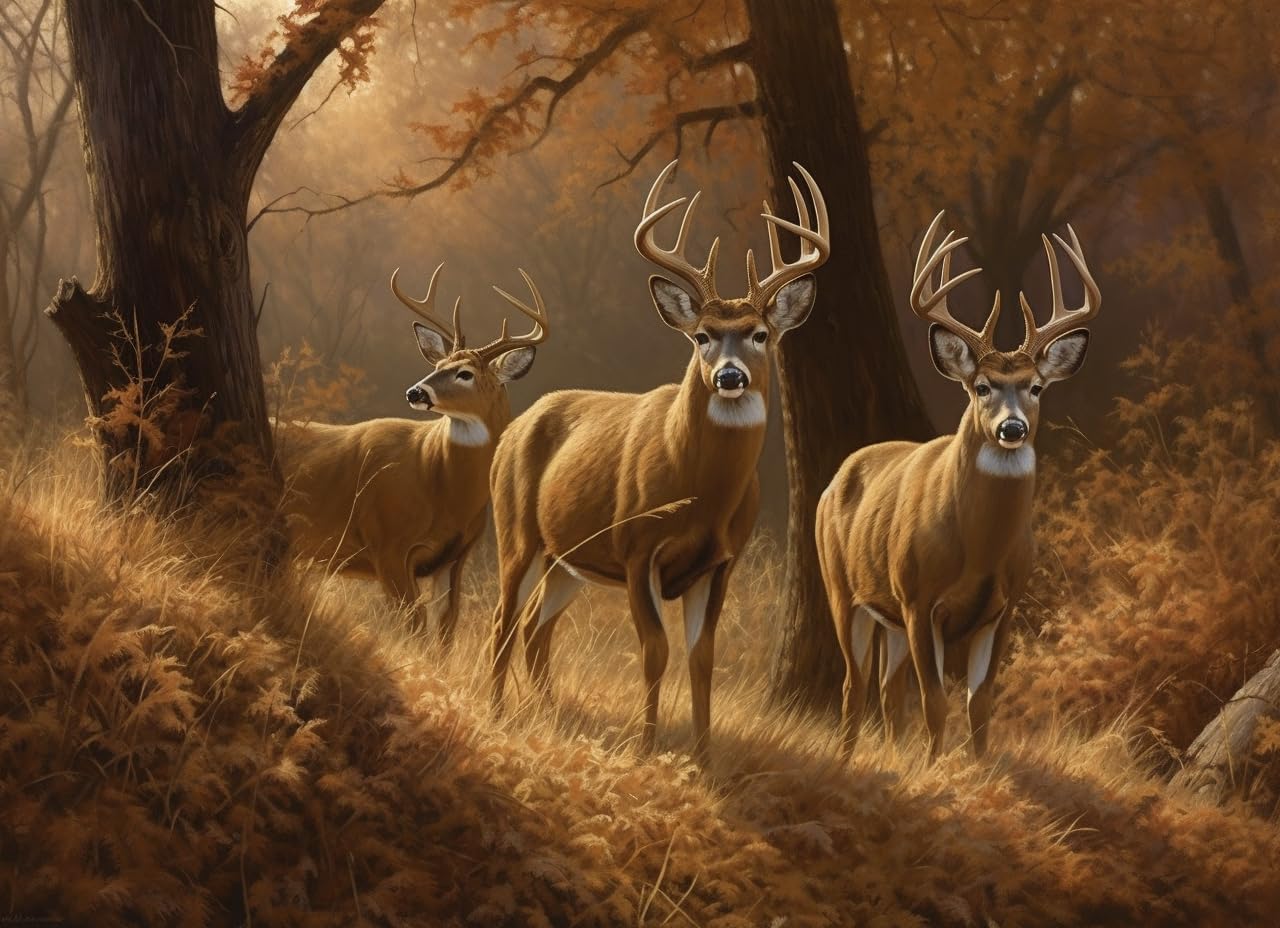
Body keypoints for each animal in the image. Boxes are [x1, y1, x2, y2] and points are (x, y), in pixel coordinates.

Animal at [276, 263, 549, 642]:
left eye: (465, 373)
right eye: (437, 366)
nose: (415, 392)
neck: (440, 485)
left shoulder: (455, 557)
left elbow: (446, 628)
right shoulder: (388, 545)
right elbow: (414, 625)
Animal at [487, 159, 830, 764]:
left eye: (760, 334)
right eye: (702, 336)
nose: (730, 376)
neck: (699, 494)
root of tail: (511, 432)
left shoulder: (720, 562)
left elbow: (702, 656)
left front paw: (704, 756)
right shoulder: (636, 547)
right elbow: (655, 650)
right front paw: (647, 748)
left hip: (567, 560)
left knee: (532, 626)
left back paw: (548, 712)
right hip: (519, 534)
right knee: (503, 620)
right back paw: (498, 712)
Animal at [815, 211, 1100, 761]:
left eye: (1036, 387)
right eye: (981, 387)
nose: (1012, 428)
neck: (979, 551)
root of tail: (834, 479)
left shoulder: (1004, 608)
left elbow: (979, 702)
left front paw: (976, 768)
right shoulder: (919, 597)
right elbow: (934, 701)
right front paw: (933, 768)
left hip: (889, 613)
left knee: (886, 689)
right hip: (843, 587)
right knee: (854, 684)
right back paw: (845, 759)